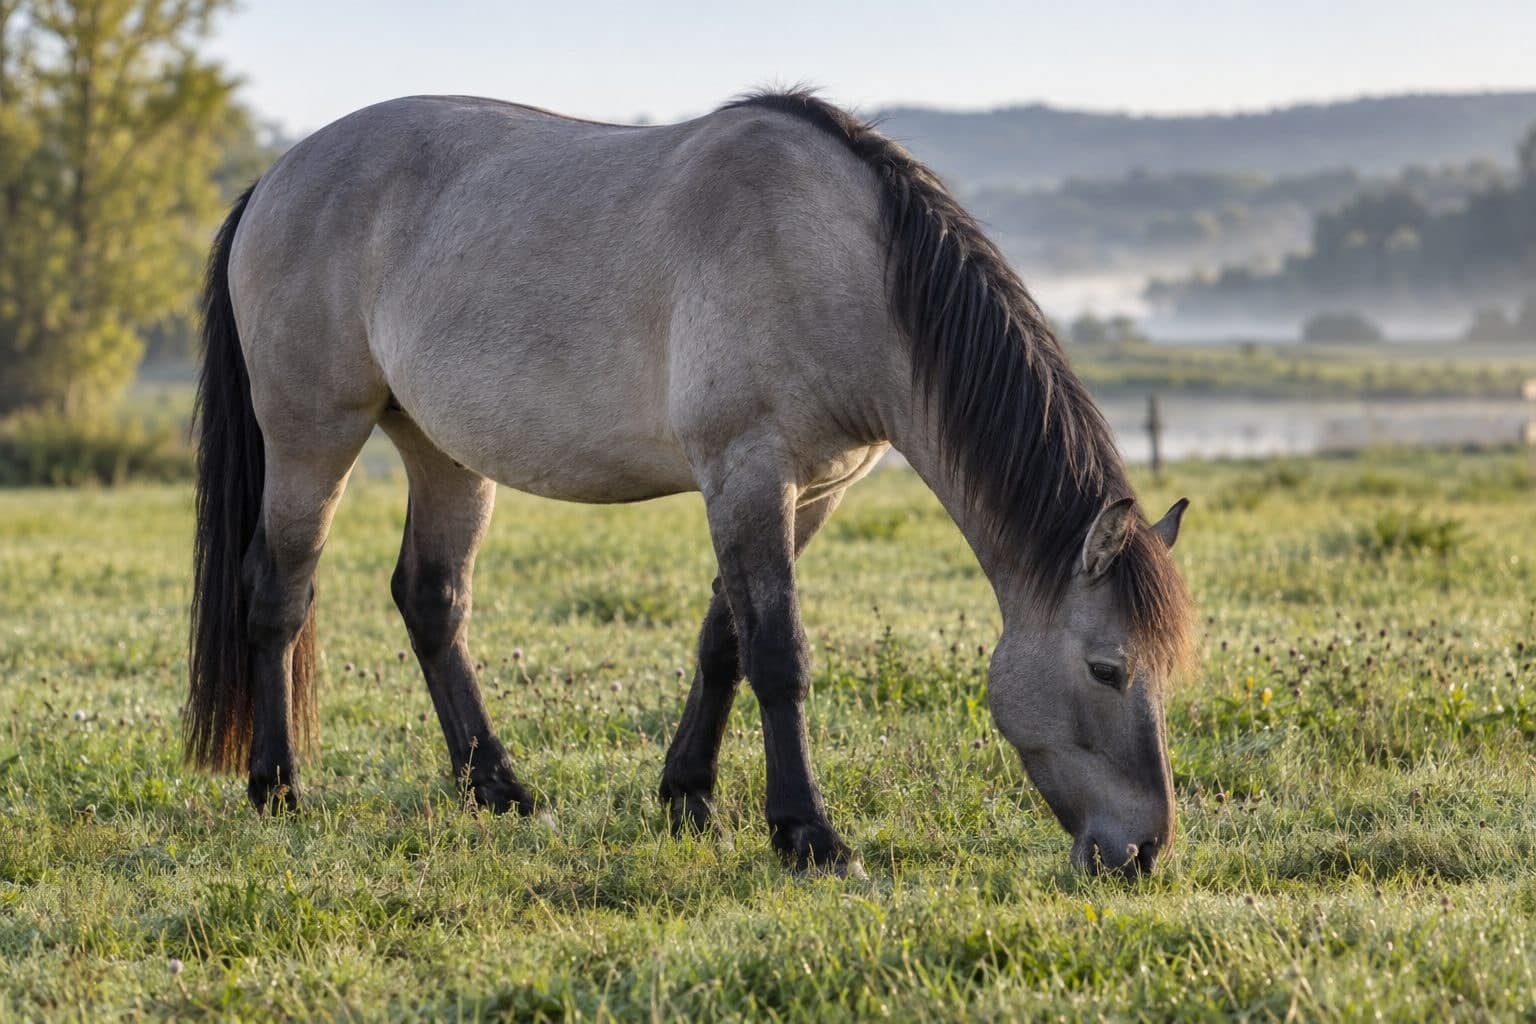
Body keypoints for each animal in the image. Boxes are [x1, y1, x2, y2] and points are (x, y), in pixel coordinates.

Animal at [186, 90, 1195, 878]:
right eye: (1106, 668)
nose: (1142, 852)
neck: (842, 262)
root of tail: (277, 177)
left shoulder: (811, 490)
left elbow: (726, 641)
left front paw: (688, 799)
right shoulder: (746, 470)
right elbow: (779, 651)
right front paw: (808, 836)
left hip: (441, 450)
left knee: (432, 601)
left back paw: (500, 789)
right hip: (312, 435)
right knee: (278, 595)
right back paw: (277, 787)